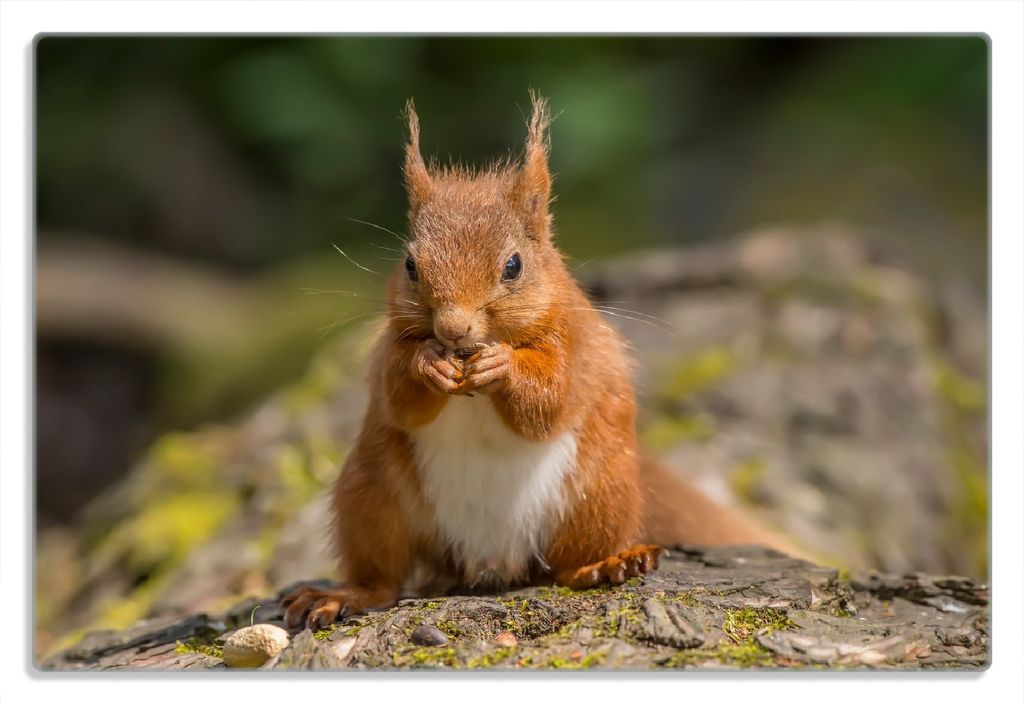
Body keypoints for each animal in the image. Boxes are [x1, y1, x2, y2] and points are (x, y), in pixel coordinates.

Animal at [282, 93, 799, 631]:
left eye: (514, 266)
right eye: (410, 266)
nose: (454, 329)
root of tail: (489, 563)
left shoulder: (572, 343)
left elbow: (550, 399)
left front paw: (503, 367)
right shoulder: (388, 348)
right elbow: (399, 396)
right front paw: (429, 363)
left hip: (598, 492)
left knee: (568, 566)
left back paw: (607, 564)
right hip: (370, 494)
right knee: (382, 575)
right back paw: (344, 595)